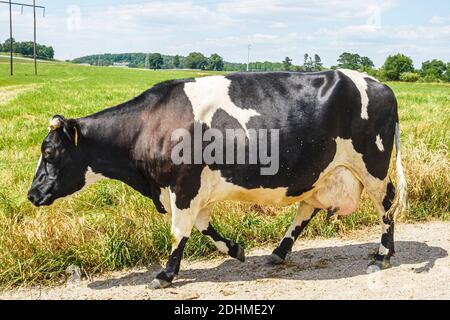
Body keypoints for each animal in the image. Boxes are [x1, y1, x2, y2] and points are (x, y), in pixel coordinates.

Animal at [28, 70, 408, 290]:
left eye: (49, 152)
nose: (32, 194)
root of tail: (381, 84)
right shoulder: (192, 190)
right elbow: (202, 227)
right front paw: (235, 250)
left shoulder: (183, 186)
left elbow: (179, 230)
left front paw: (165, 275)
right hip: (322, 172)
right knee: (307, 208)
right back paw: (279, 252)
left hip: (372, 166)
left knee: (387, 203)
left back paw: (383, 253)